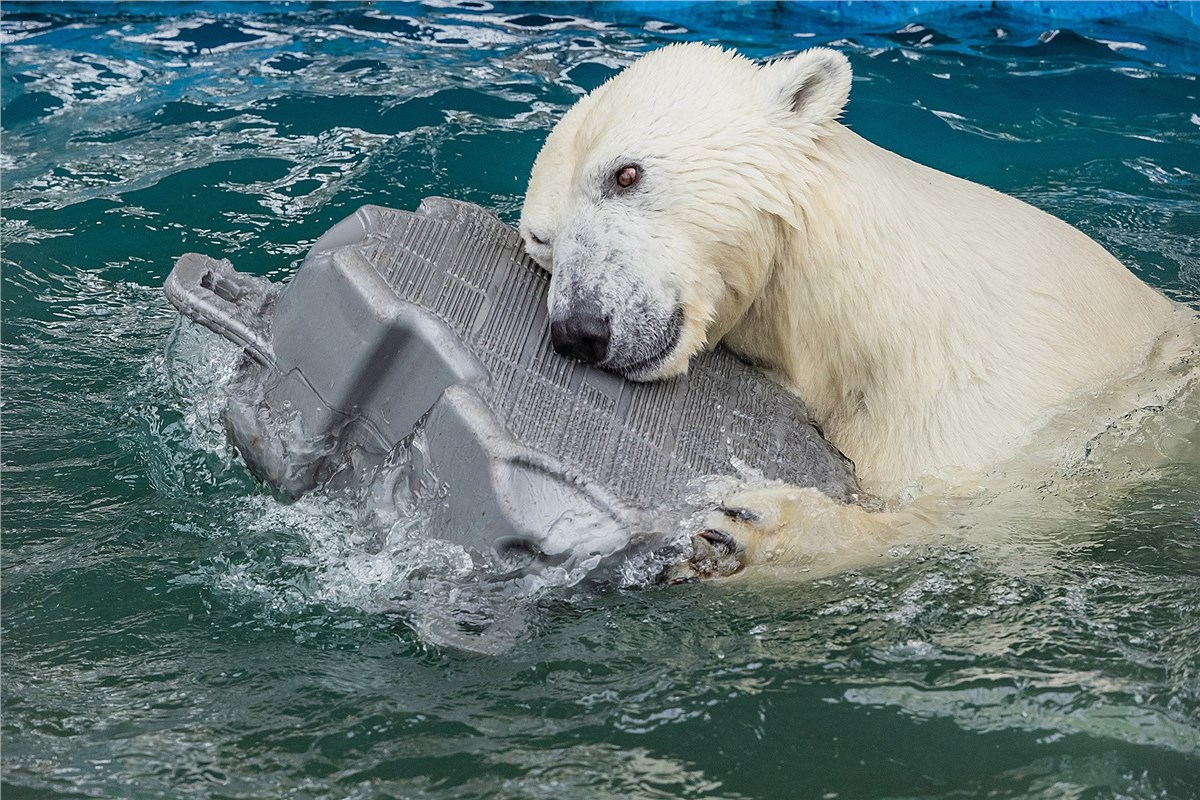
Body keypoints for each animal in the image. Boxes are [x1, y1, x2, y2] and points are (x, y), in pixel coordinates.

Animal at [516, 42, 1190, 575]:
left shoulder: (999, 405)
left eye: (626, 174)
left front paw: (752, 528)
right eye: (541, 239)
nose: (579, 329)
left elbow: (977, 512)